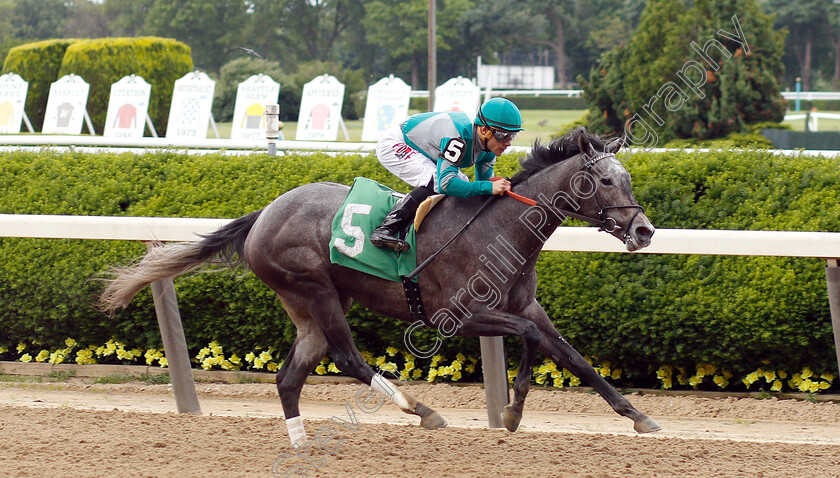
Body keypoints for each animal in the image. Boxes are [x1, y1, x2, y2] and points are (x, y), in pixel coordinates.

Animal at [100, 127, 664, 444]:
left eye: (628, 178)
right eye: (606, 181)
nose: (644, 231)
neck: (500, 228)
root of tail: (264, 213)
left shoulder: (528, 306)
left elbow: (570, 355)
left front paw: (638, 417)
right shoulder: (457, 316)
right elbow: (530, 339)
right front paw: (512, 410)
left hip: (309, 303)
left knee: (289, 375)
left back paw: (300, 442)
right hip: (315, 289)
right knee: (347, 358)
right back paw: (421, 411)